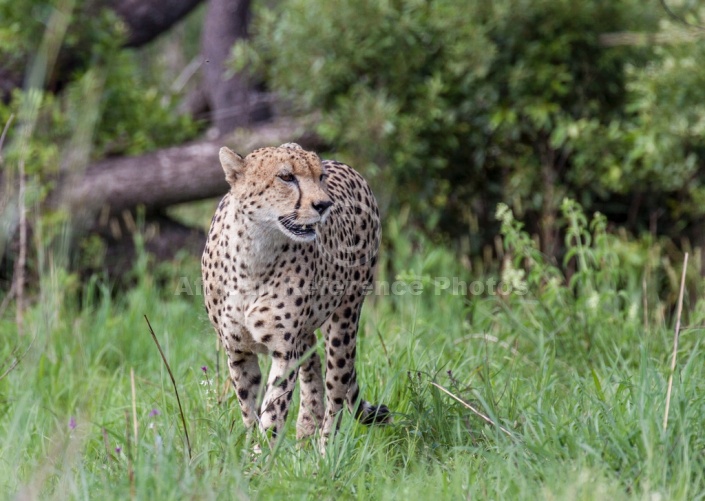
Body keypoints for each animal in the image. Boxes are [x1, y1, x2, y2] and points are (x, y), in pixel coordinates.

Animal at [201, 142, 390, 450]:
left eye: (319, 177)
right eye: (286, 177)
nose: (324, 205)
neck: (254, 252)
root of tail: (346, 166)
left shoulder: (283, 350)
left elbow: (273, 410)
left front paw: (262, 455)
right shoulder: (237, 350)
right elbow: (249, 409)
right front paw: (251, 450)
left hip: (344, 320)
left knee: (337, 389)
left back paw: (325, 451)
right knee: (312, 365)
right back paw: (305, 432)